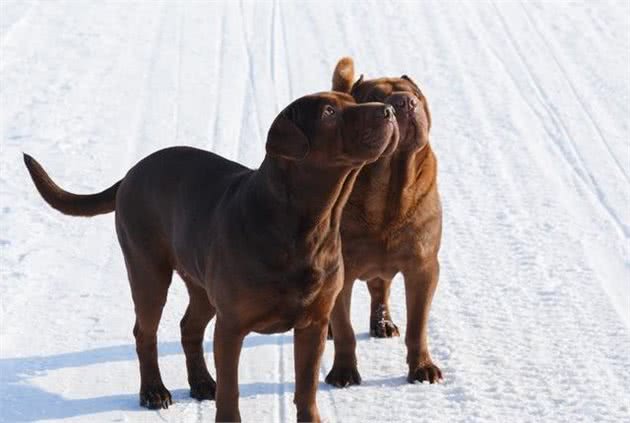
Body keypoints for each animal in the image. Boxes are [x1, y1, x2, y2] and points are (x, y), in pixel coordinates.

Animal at [25, 91, 400, 422]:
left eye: (352, 101)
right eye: (328, 112)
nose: (389, 110)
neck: (307, 225)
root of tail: (130, 174)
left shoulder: (313, 324)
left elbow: (306, 390)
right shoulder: (231, 325)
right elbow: (231, 392)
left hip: (201, 285)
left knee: (189, 327)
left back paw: (202, 382)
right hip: (148, 272)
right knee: (145, 332)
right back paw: (154, 392)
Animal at [326, 58, 444, 390]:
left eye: (414, 95)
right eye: (374, 98)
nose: (403, 102)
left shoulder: (423, 268)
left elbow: (418, 326)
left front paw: (422, 367)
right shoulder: (341, 271)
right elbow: (344, 329)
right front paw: (343, 372)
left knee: (381, 289)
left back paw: (383, 323)